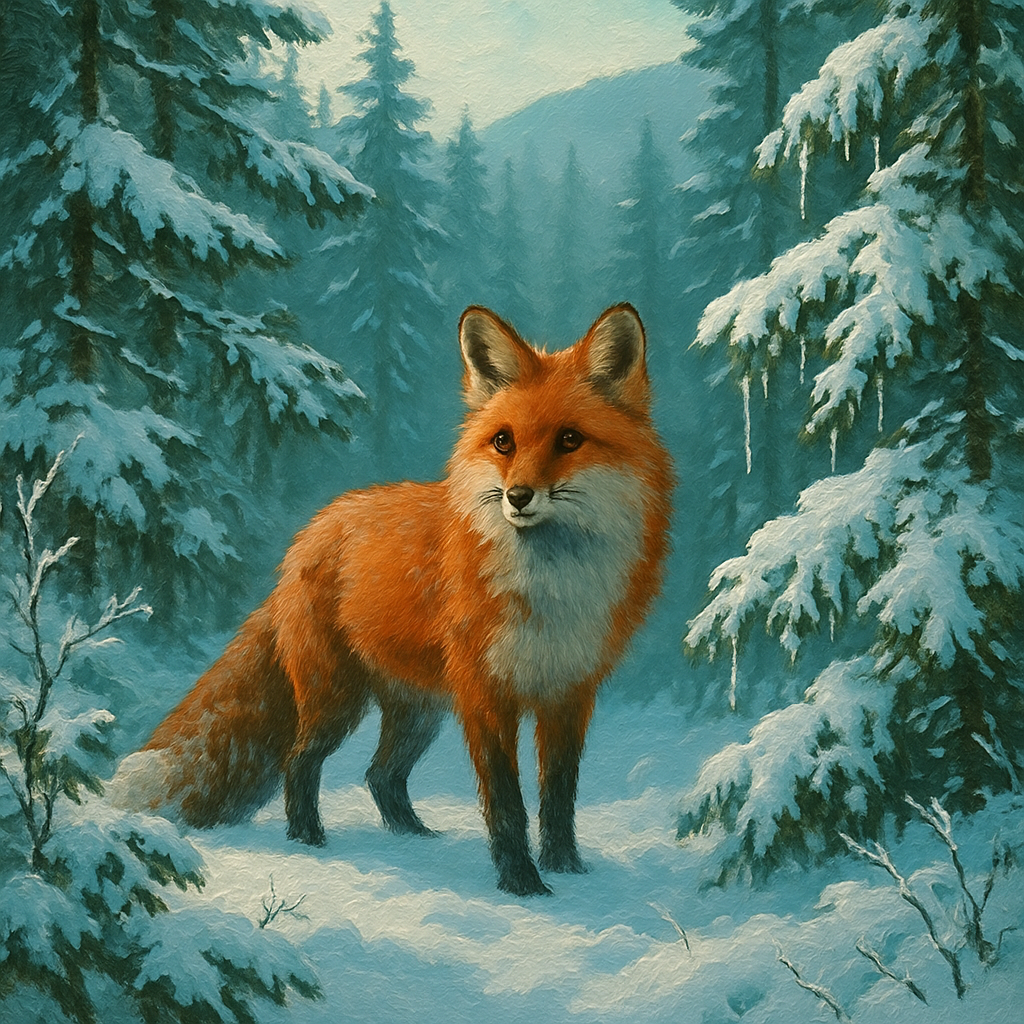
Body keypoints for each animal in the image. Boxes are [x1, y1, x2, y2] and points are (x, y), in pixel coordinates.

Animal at [112, 303, 673, 896]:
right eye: (504, 442)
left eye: (570, 439)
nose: (518, 497)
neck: (550, 588)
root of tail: (310, 533)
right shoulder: (484, 694)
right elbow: (506, 802)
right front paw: (522, 883)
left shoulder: (570, 692)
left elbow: (559, 796)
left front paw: (568, 870)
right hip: (336, 699)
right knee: (299, 760)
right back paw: (308, 839)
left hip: (418, 712)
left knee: (379, 774)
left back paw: (413, 838)